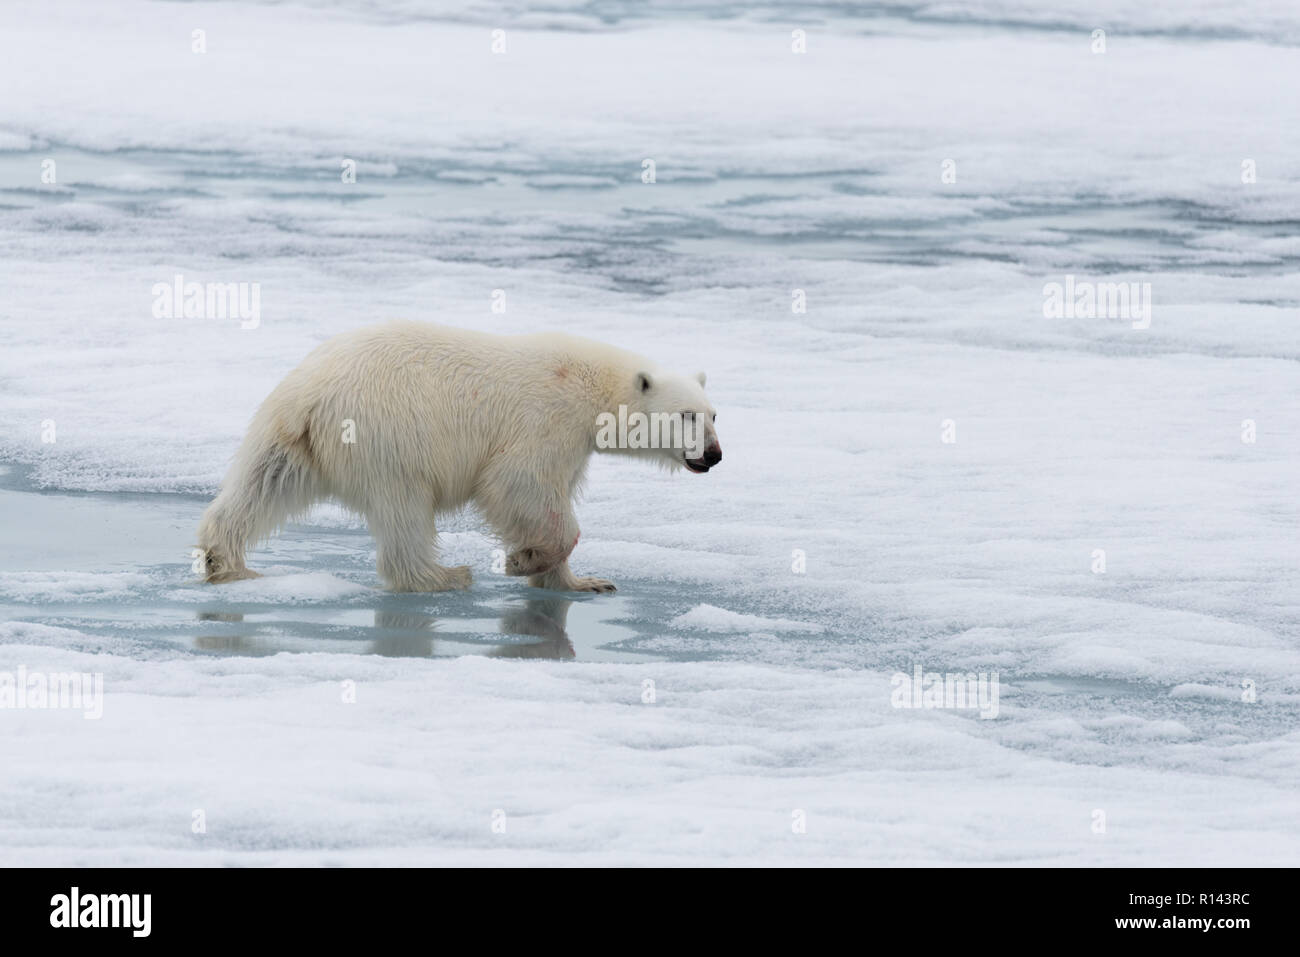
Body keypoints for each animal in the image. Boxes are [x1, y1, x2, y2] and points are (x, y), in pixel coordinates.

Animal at [193, 321, 722, 590]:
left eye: (714, 414)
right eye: (686, 416)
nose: (714, 455)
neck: (590, 385)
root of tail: (309, 394)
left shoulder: (572, 446)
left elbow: (551, 497)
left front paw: (582, 581)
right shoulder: (546, 422)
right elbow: (518, 485)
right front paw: (523, 561)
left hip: (290, 437)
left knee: (263, 484)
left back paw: (224, 559)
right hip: (387, 432)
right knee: (405, 508)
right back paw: (443, 575)